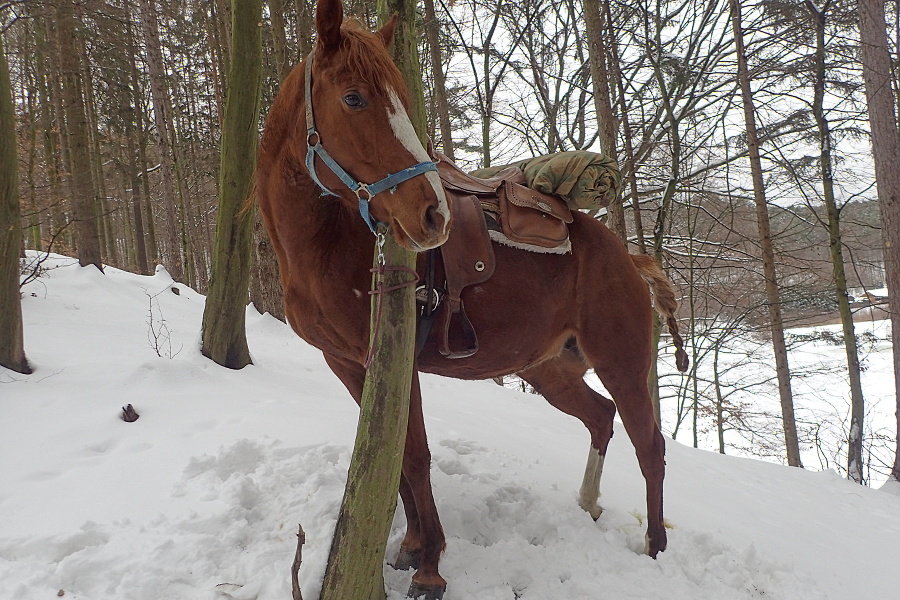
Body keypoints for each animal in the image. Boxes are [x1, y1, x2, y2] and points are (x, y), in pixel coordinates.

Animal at [255, 0, 688, 596]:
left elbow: (414, 457)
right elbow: (395, 460)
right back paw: (588, 504)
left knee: (650, 447)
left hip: (620, 361)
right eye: (353, 98)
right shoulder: (348, 364)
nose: (431, 213)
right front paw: (412, 546)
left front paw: (430, 565)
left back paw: (655, 549)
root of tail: (627, 257)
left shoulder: (396, 363)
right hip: (547, 367)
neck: (330, 241)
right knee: (600, 418)